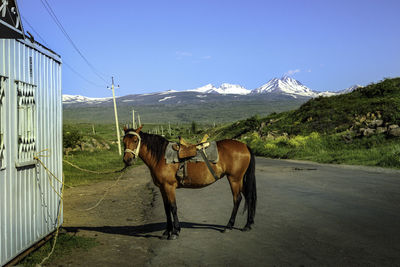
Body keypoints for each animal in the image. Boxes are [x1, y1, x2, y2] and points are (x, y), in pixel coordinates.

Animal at [122, 126, 258, 241]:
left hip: (234, 179)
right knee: (249, 197)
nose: (127, 159)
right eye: (123, 141)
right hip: (240, 180)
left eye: (135, 140)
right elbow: (166, 208)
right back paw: (248, 225)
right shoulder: (162, 188)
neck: (160, 157)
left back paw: (229, 226)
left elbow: (173, 207)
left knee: (237, 199)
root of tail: (245, 146)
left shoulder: (169, 186)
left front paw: (175, 232)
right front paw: (167, 231)